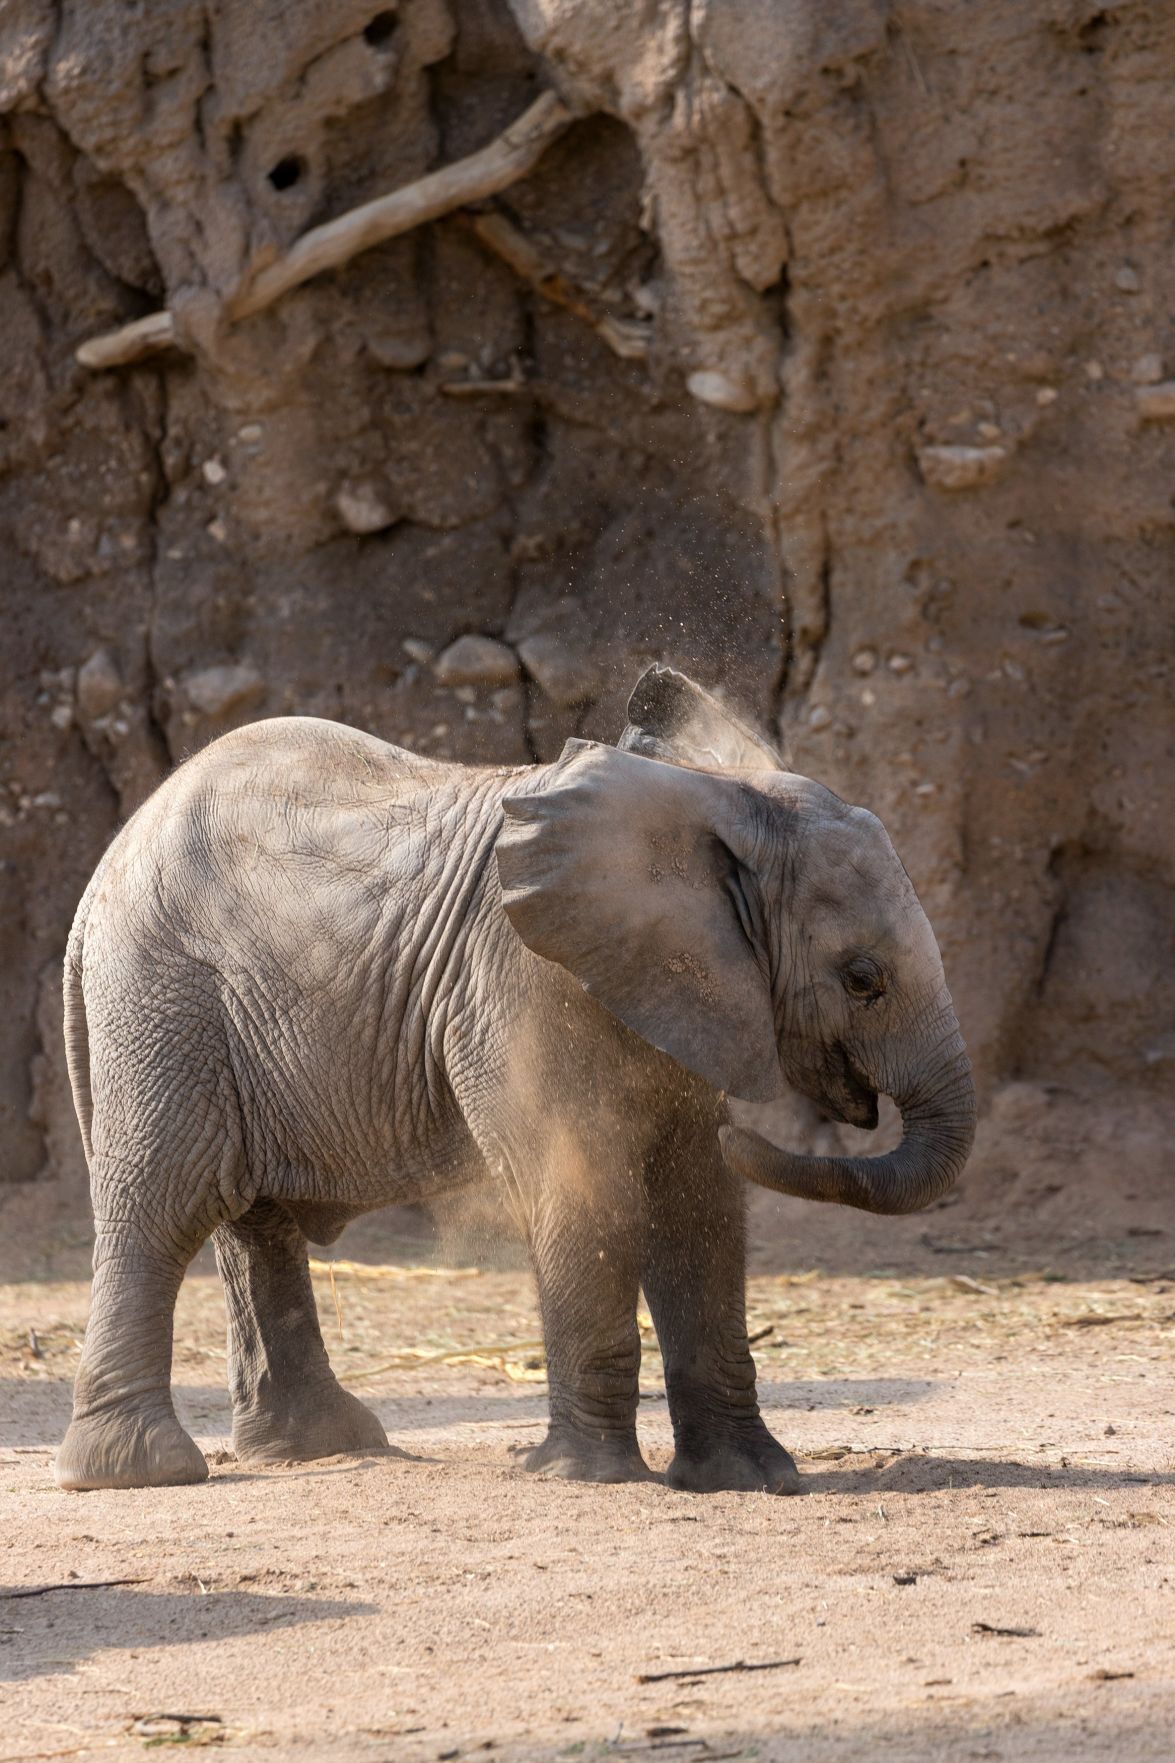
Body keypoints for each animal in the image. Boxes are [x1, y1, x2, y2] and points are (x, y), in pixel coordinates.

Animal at [52, 666, 966, 1495]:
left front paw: (753, 1479)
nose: (757, 1125)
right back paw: (138, 1473)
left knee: (254, 1222)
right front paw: (587, 1477)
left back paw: (320, 1446)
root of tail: (98, 884)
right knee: (167, 1202)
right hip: (163, 999)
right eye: (861, 978)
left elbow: (697, 1204)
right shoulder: (522, 982)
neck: (707, 800)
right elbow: (585, 1187)